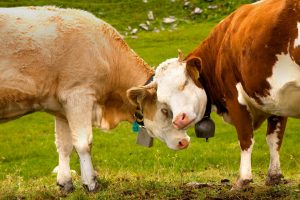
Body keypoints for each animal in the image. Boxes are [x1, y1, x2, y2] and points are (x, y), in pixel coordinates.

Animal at [0, 7, 206, 193]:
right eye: (164, 110)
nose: (184, 142)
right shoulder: (78, 95)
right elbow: (83, 143)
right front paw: (91, 183)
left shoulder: (60, 107)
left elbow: (64, 146)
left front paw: (65, 183)